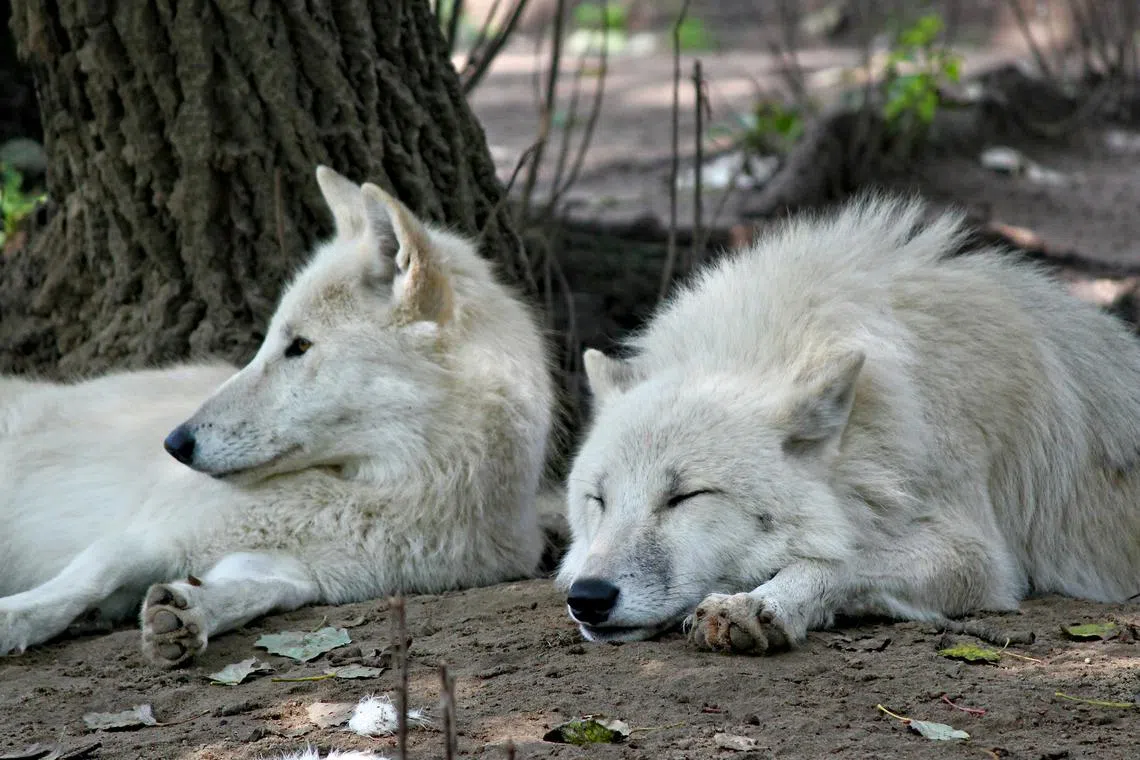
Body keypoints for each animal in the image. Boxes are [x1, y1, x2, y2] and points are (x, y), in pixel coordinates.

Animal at [0, 166, 554, 666]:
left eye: (299, 346)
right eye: (272, 341)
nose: (175, 444)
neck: (377, 491)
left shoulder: (297, 572)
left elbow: (249, 592)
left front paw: (188, 612)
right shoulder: (147, 533)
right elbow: (83, 578)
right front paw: (13, 618)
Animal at [557, 195, 1140, 654]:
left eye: (685, 498)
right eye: (598, 500)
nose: (587, 597)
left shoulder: (978, 554)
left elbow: (843, 558)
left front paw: (757, 604)